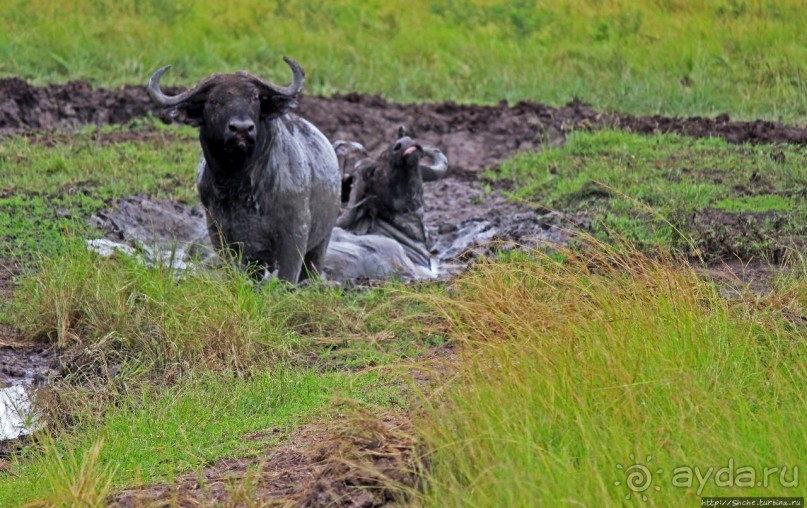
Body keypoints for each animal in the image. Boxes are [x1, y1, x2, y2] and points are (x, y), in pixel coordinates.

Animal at [147, 58, 340, 286]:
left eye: (254, 98)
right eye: (214, 101)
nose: (241, 129)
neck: (241, 183)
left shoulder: (295, 234)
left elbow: (287, 277)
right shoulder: (220, 233)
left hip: (321, 244)